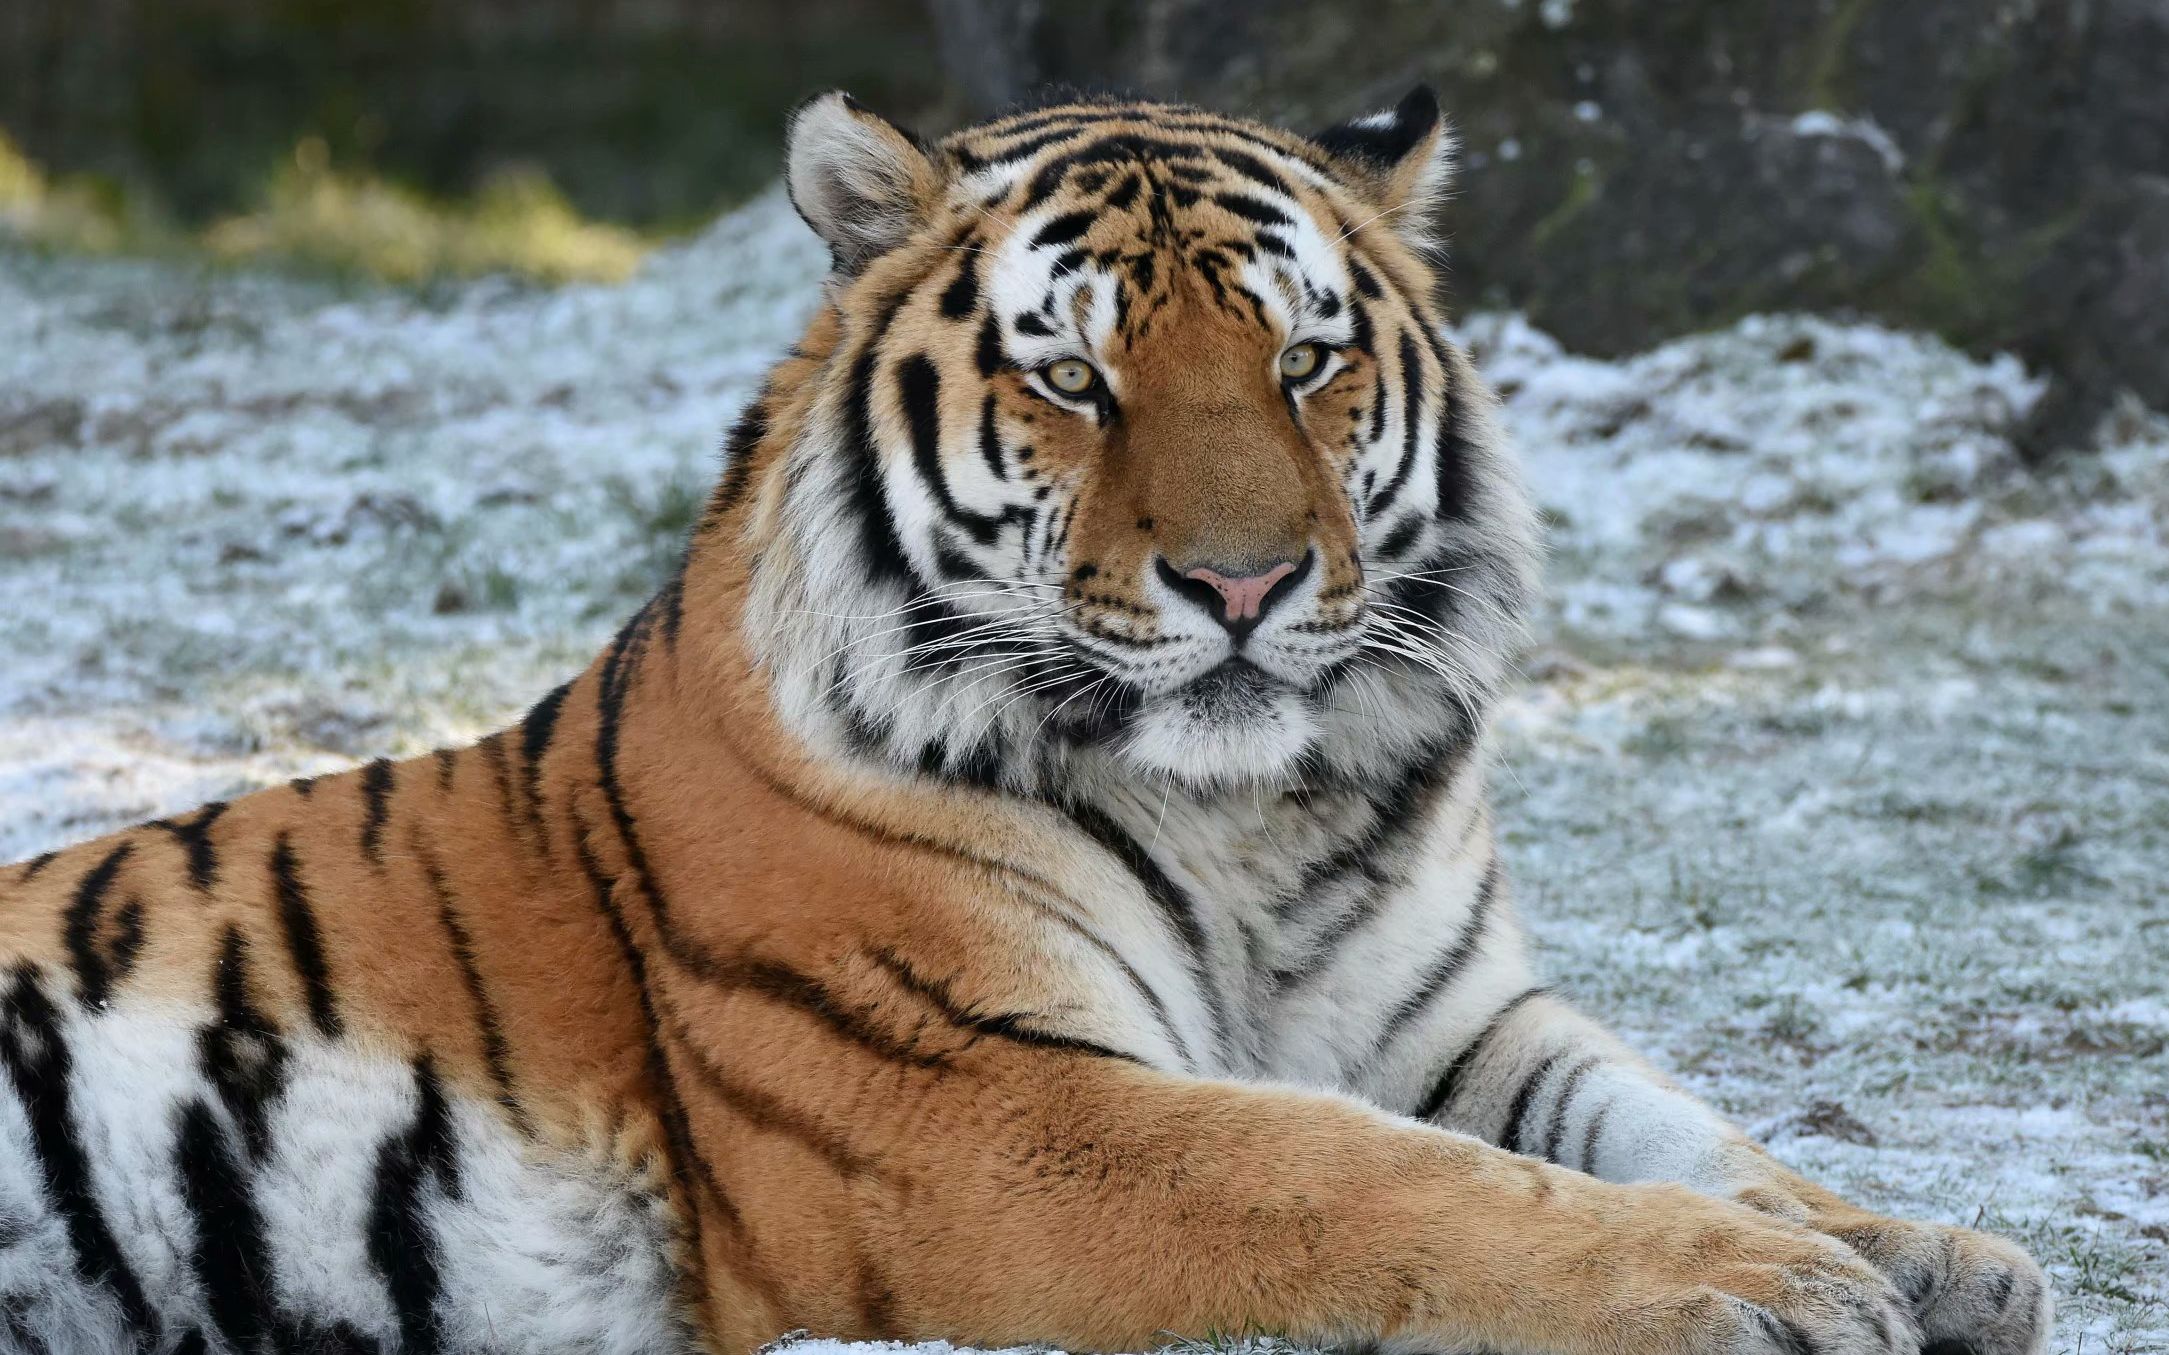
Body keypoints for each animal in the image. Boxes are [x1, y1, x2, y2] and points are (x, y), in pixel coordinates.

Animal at [4, 87, 2047, 1352]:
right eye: (1074, 379)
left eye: (1304, 360)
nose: (1243, 584)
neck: (1256, 816)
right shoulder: (969, 1099)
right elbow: (1366, 1179)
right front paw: (1763, 1285)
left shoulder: (1456, 1020)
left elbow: (1680, 1122)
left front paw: (1927, 1253)